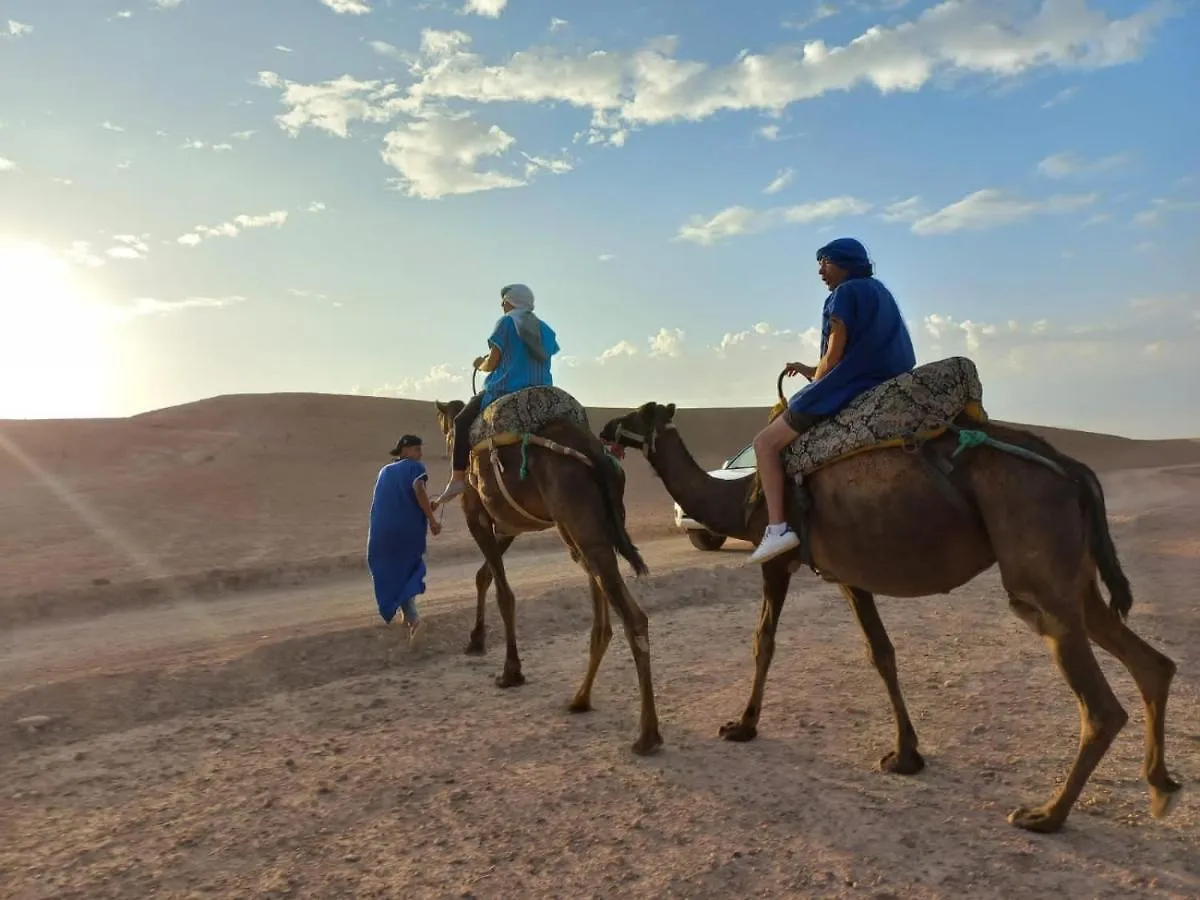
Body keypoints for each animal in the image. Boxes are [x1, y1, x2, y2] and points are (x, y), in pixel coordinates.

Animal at [432, 398, 662, 758]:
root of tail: (594, 451)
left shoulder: (477, 514)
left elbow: (503, 592)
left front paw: (511, 671)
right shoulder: (509, 526)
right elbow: (484, 576)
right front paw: (476, 640)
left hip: (578, 521)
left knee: (632, 617)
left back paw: (647, 735)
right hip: (589, 527)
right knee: (603, 614)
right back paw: (581, 699)